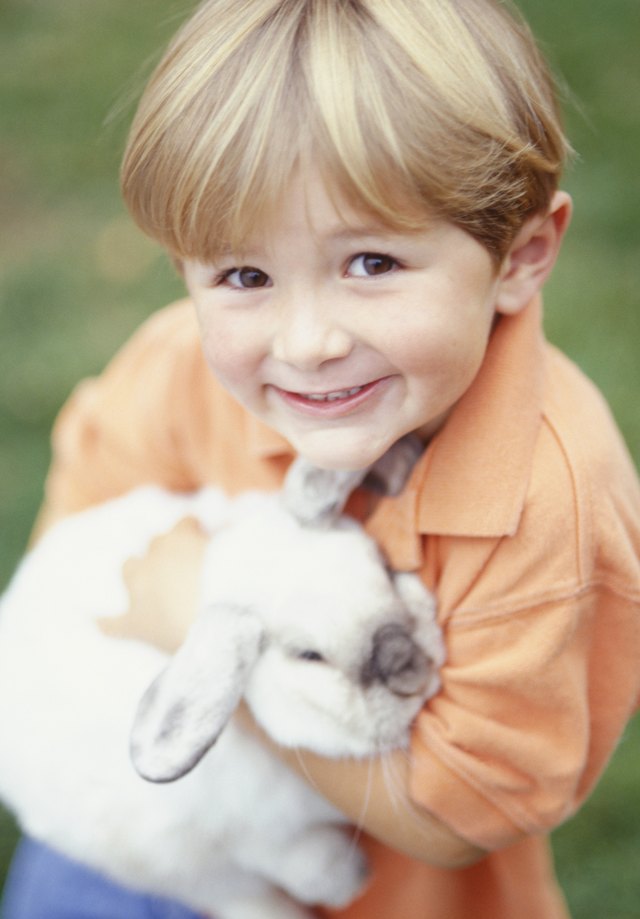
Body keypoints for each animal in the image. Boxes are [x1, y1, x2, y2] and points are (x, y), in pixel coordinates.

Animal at [0, 438, 442, 919]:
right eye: (308, 656)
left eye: (386, 569)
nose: (407, 666)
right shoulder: (225, 835)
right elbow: (275, 857)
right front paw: (349, 880)